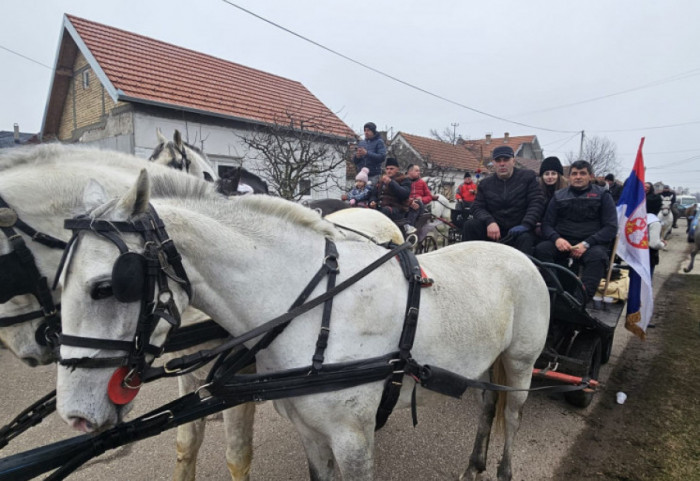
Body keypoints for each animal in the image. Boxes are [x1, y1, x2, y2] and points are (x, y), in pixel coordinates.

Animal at [54, 170, 548, 480]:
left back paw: (502, 469)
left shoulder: (352, 440)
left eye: (106, 287)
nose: (74, 416)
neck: (313, 311)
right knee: (487, 407)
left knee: (512, 416)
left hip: (521, 364)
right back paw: (474, 464)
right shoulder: (311, 432)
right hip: (483, 363)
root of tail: (516, 251)